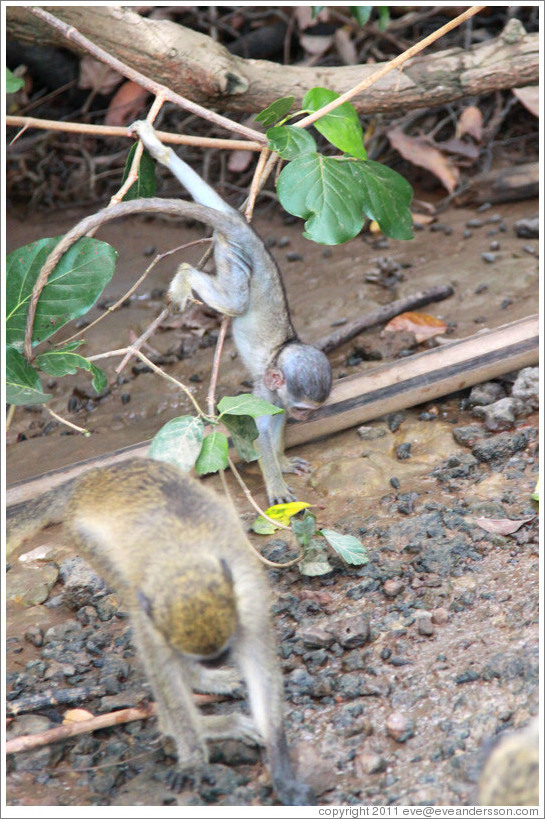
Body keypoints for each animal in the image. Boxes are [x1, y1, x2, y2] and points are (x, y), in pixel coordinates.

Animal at [6, 462, 314, 808]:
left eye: (224, 651)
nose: (213, 661)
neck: (185, 560)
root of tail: (93, 476)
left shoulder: (248, 604)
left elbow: (261, 670)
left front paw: (282, 771)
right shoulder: (155, 622)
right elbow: (163, 670)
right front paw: (194, 758)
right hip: (86, 537)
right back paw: (198, 718)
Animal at [132, 120, 332, 506]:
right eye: (304, 409)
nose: (304, 419)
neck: (281, 353)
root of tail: (247, 236)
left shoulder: (277, 397)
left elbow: (276, 424)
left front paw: (283, 462)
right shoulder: (266, 393)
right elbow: (259, 435)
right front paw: (276, 485)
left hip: (232, 236)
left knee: (216, 204)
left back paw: (162, 151)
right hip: (232, 257)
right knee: (236, 301)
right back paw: (185, 276)